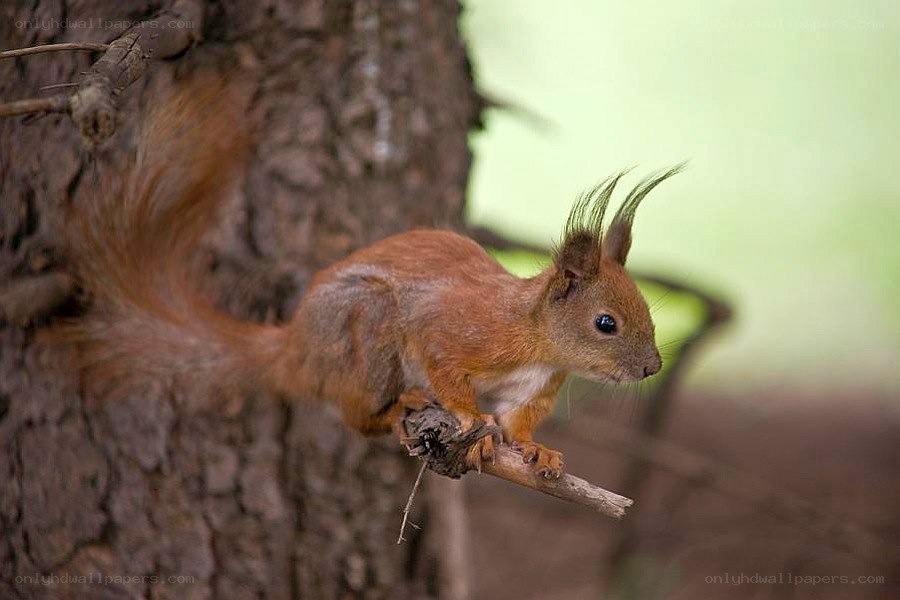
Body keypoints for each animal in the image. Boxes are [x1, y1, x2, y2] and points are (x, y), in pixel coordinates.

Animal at [63, 79, 680, 479]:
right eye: (605, 323)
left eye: (648, 312)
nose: (652, 367)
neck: (538, 342)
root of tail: (295, 352)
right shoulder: (453, 329)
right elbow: (448, 370)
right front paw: (469, 418)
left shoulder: (533, 386)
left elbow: (516, 423)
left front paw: (536, 450)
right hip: (366, 331)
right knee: (356, 418)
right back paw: (400, 403)